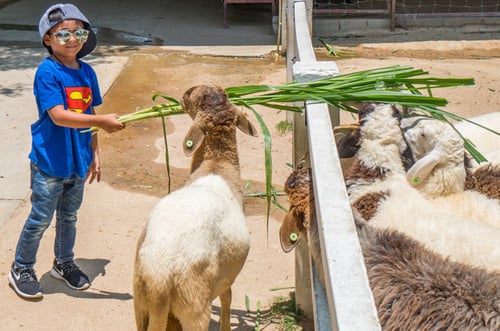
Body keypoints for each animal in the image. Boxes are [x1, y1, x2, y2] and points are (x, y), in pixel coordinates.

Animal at [134, 83, 258, 331]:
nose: (183, 93)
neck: (217, 164)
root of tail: (160, 274)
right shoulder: (226, 278)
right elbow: (228, 299)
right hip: (194, 304)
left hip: (140, 301)